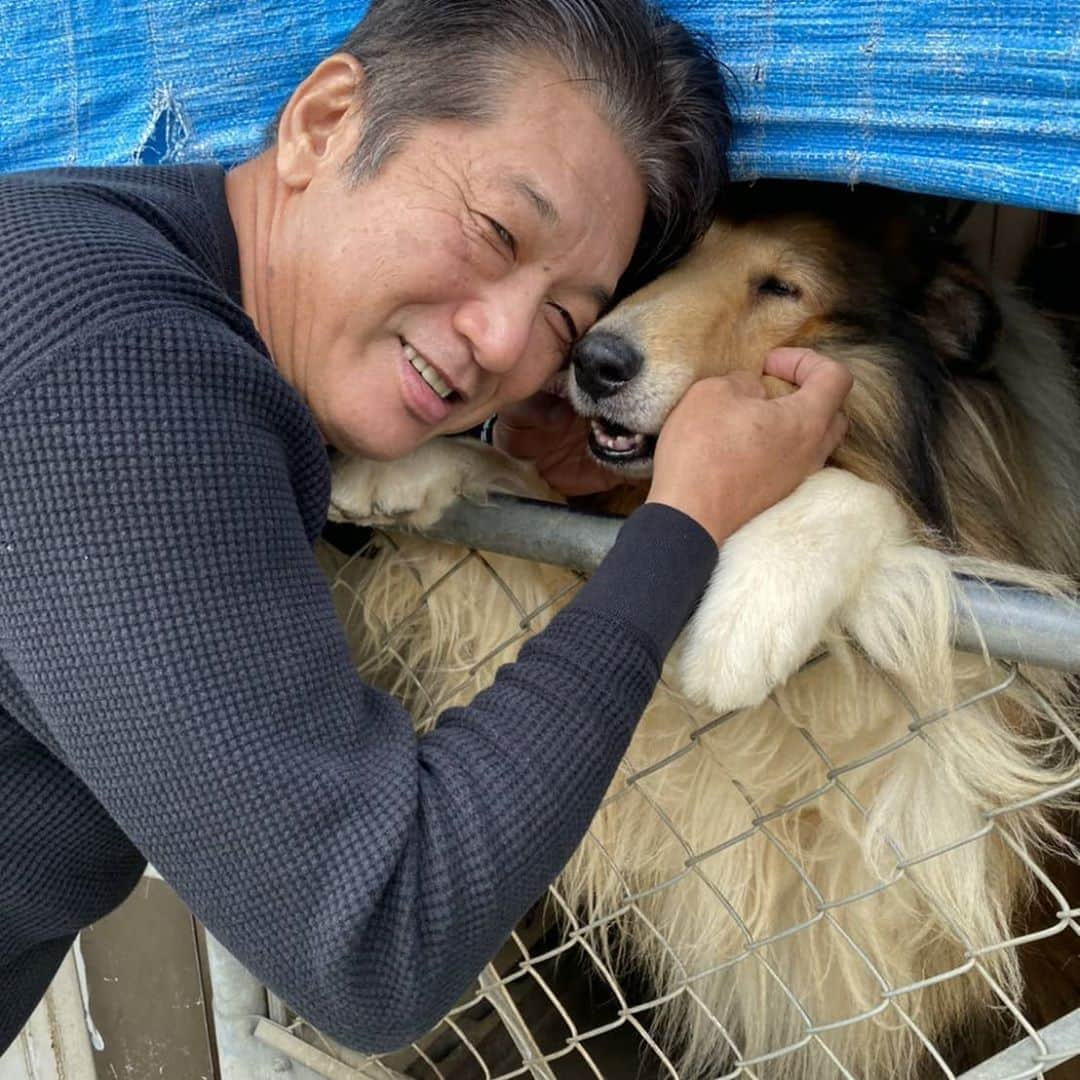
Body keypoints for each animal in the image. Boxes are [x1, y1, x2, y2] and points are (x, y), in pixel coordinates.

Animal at [328, 190, 1080, 1075]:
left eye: (783, 287)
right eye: (681, 252)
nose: (593, 361)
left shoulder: (916, 811)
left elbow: (881, 513)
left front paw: (752, 606)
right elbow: (537, 503)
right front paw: (407, 466)